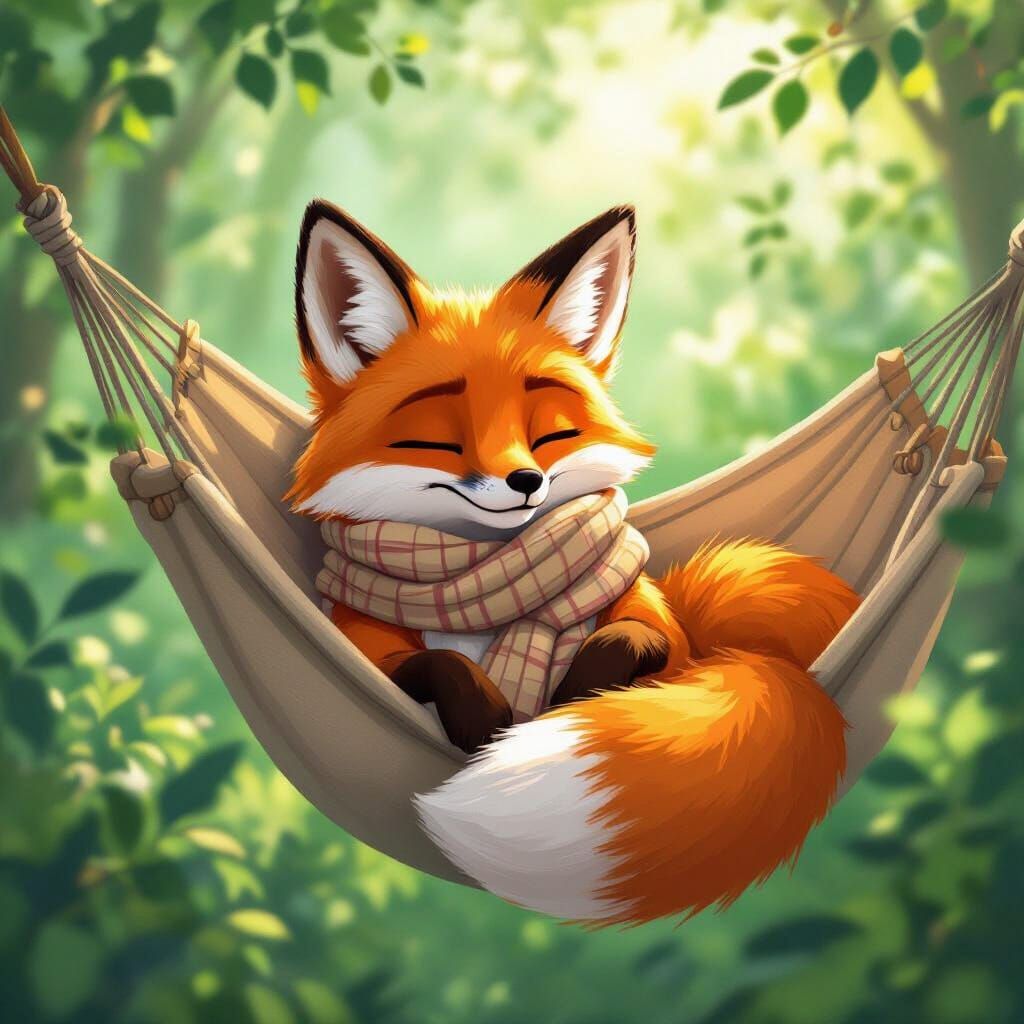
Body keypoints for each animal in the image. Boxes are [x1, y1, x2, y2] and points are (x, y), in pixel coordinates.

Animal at [288, 199, 861, 925]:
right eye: (440, 439)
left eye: (550, 431)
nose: (526, 481)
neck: (488, 579)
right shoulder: (369, 647)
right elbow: (440, 665)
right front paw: (488, 721)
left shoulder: (661, 635)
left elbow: (631, 639)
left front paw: (564, 706)